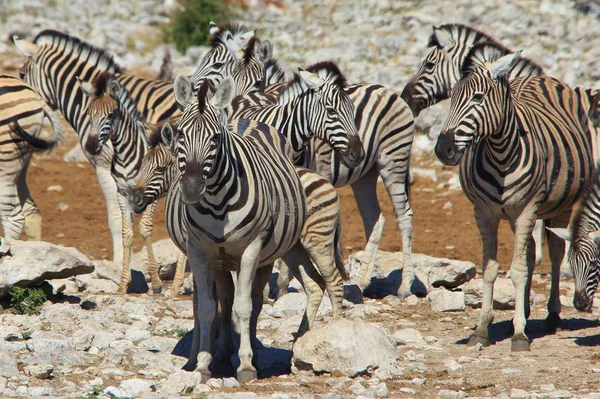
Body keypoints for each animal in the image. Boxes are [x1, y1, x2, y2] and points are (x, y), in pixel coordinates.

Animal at [76, 72, 163, 296]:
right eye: (88, 113)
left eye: (111, 114)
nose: (91, 145)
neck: (125, 154)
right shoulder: (123, 193)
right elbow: (127, 234)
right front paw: (124, 283)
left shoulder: (150, 194)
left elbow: (145, 229)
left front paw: (156, 283)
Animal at [171, 75, 308, 384]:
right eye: (180, 135)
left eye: (215, 138)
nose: (191, 190)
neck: (217, 204)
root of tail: (245, 120)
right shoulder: (199, 250)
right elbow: (208, 308)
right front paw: (203, 364)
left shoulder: (251, 249)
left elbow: (244, 307)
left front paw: (245, 365)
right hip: (220, 260)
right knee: (224, 299)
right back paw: (220, 355)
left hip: (265, 257)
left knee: (254, 303)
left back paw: (250, 353)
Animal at [225, 37, 418, 298]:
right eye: (331, 111)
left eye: (351, 112)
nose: (357, 153)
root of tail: (387, 90)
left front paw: (280, 289)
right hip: (365, 176)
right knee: (374, 220)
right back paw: (362, 282)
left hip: (393, 160)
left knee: (404, 216)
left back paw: (405, 285)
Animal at [434, 42, 596, 352]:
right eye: (451, 98)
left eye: (478, 97)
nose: (443, 149)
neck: (499, 153)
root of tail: (537, 77)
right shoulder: (484, 212)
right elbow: (490, 269)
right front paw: (482, 329)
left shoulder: (526, 209)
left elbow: (518, 270)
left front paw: (520, 334)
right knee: (531, 251)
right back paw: (526, 312)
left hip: (558, 206)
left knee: (555, 253)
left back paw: (552, 315)